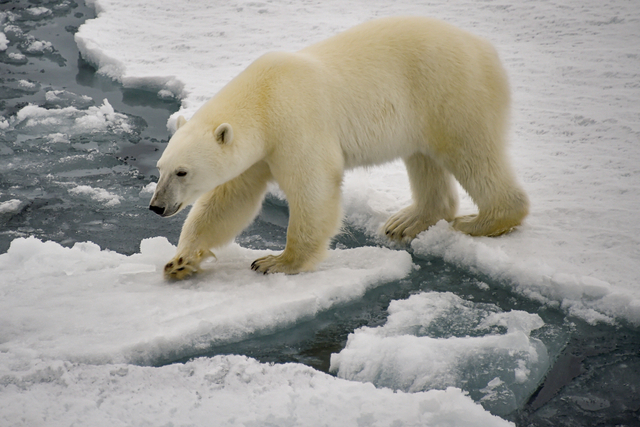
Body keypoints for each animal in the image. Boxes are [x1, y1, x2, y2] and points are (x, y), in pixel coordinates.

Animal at [150, 15, 528, 280]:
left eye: (182, 172)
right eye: (161, 168)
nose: (156, 206)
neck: (264, 97)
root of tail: (486, 49)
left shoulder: (296, 125)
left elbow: (313, 188)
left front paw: (276, 261)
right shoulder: (259, 152)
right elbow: (229, 200)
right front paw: (180, 260)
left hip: (451, 92)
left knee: (472, 153)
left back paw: (480, 221)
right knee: (424, 160)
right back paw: (407, 221)